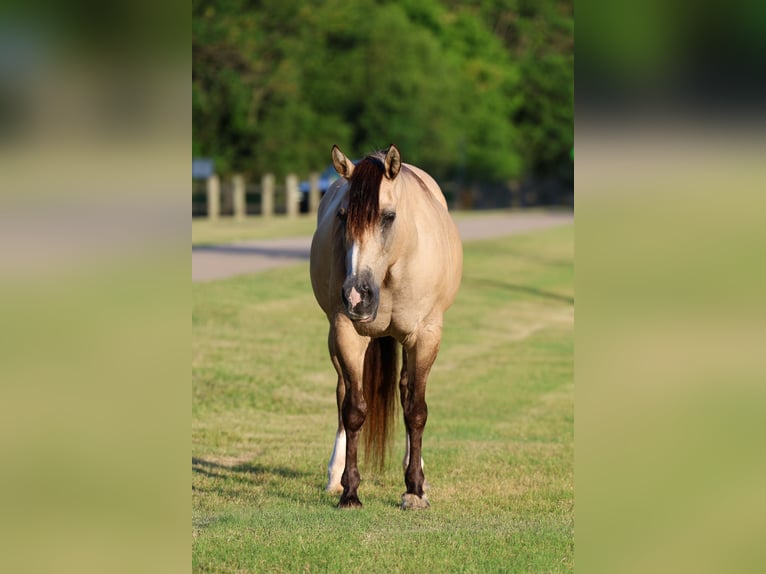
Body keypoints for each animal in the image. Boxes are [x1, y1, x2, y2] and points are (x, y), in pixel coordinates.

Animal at [309, 144, 463, 509]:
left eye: (388, 216)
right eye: (342, 215)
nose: (356, 295)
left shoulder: (425, 337)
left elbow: (416, 410)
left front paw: (414, 490)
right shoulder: (346, 333)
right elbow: (353, 409)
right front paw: (350, 492)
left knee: (407, 391)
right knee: (343, 394)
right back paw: (334, 476)